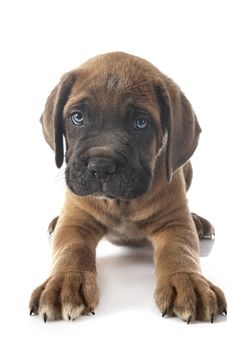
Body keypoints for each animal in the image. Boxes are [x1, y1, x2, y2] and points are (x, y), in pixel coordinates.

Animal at [28, 52, 226, 322]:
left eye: (140, 123)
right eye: (77, 117)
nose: (101, 166)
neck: (120, 203)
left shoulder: (174, 223)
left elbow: (179, 250)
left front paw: (187, 281)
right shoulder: (76, 221)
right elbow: (71, 249)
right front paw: (65, 280)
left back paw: (198, 221)